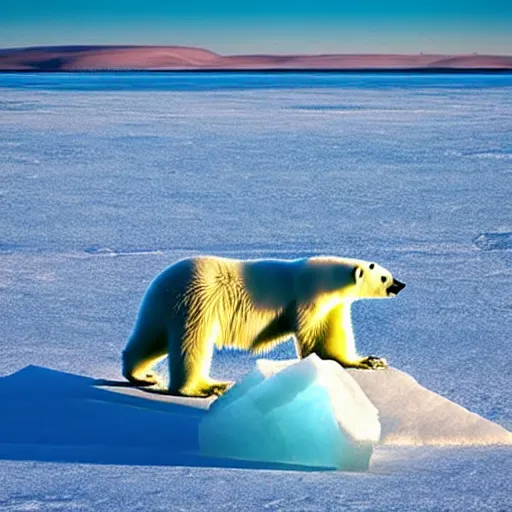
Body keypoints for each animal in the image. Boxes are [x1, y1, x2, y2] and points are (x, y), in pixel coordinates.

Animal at [121, 256, 404, 396]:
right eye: (384, 277)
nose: (400, 285)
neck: (324, 277)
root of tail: (162, 282)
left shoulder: (333, 305)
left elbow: (333, 336)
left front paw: (370, 360)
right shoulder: (308, 298)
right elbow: (315, 338)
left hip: (163, 308)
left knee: (148, 339)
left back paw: (141, 375)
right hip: (199, 302)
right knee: (192, 344)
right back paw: (207, 387)